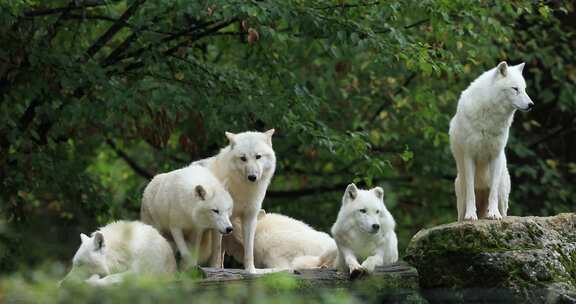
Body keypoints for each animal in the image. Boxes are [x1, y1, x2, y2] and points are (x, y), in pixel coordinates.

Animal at [192, 128, 276, 274]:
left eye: (258, 156)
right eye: (243, 158)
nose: (252, 177)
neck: (242, 190)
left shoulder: (250, 217)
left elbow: (249, 250)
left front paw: (251, 271)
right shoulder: (219, 220)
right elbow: (216, 250)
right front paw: (215, 270)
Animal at [448, 61, 532, 222]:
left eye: (524, 89)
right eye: (515, 89)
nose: (531, 105)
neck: (490, 117)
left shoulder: (496, 156)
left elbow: (493, 192)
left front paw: (493, 214)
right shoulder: (469, 156)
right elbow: (471, 193)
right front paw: (471, 215)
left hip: (503, 193)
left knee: (502, 208)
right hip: (460, 193)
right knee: (461, 213)